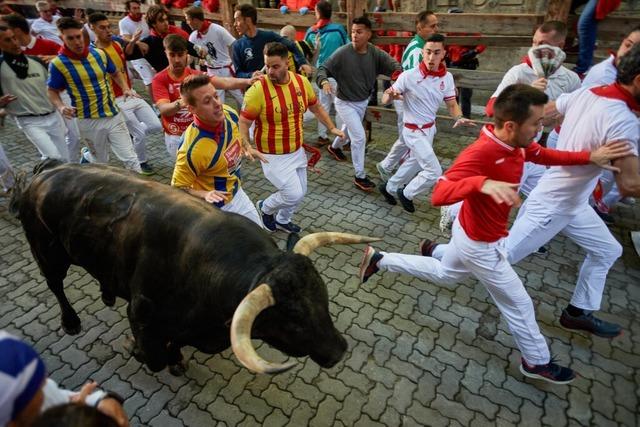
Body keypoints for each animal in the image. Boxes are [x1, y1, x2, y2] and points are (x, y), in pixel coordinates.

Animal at [11, 160, 380, 374]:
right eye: (291, 317)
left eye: (322, 295)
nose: (338, 350)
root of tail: (45, 172)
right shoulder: (141, 315)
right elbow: (155, 358)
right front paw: (138, 351)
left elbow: (174, 347)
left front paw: (177, 360)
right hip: (45, 251)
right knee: (55, 285)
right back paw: (71, 322)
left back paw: (106, 293)